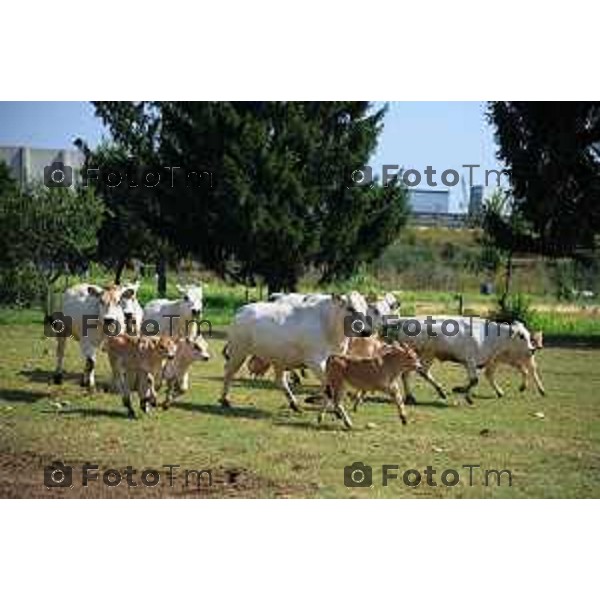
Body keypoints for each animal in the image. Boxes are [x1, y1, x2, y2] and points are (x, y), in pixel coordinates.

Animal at [221, 292, 368, 412]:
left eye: (365, 309)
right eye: (350, 308)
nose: (366, 330)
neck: (327, 324)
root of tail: (242, 309)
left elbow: (328, 384)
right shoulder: (314, 361)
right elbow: (328, 384)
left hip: (278, 359)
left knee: (280, 381)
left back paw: (294, 404)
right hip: (239, 351)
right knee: (229, 371)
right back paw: (225, 400)